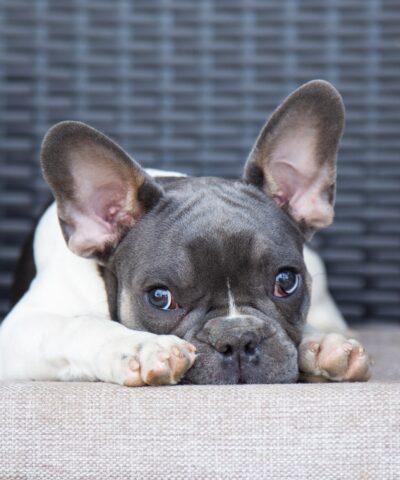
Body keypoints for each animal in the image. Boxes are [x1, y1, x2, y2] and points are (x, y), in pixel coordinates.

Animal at [0, 79, 370, 386]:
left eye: (285, 281)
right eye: (160, 298)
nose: (237, 337)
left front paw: (321, 343)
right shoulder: (19, 330)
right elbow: (76, 325)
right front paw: (140, 346)